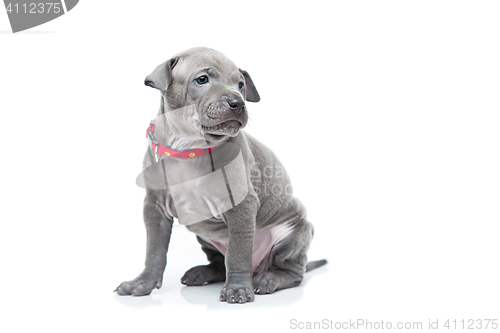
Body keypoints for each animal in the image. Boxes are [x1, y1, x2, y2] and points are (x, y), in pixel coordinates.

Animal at [117, 47, 328, 304]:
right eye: (202, 80)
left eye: (240, 85)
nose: (237, 103)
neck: (189, 148)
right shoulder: (155, 208)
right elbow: (154, 251)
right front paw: (142, 283)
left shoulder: (241, 205)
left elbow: (238, 254)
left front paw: (237, 289)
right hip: (206, 237)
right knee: (219, 262)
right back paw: (202, 273)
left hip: (292, 232)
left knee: (292, 270)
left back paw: (269, 278)